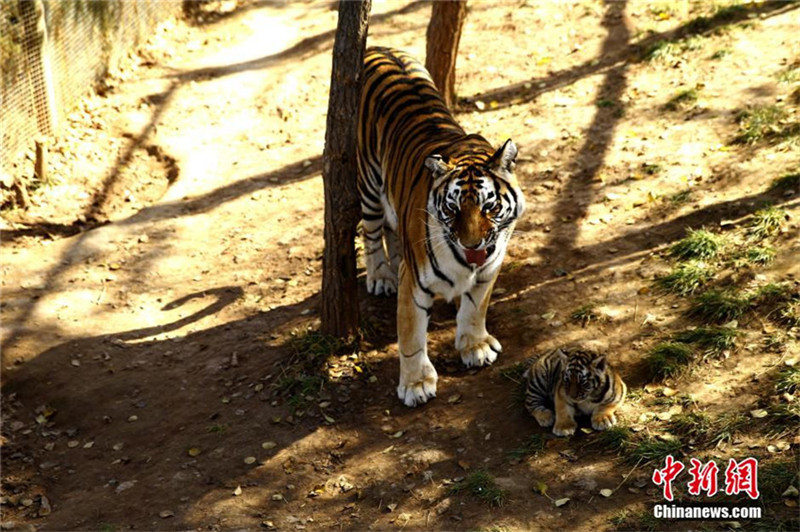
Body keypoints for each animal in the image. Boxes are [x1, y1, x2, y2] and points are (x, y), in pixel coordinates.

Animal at [357, 47, 525, 407]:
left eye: (489, 207)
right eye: (452, 209)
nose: (473, 245)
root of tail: (378, 48)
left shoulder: (490, 268)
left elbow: (475, 308)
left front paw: (475, 346)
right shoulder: (413, 283)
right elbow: (410, 337)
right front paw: (416, 385)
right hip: (369, 183)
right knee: (372, 233)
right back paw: (380, 276)